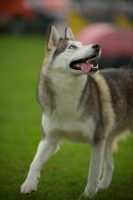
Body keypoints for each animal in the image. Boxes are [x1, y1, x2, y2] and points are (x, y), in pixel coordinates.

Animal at [20, 25, 133, 197]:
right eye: (72, 47)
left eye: (82, 43)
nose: (97, 45)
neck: (68, 94)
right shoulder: (50, 139)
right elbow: (35, 161)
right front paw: (28, 184)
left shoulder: (97, 141)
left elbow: (93, 171)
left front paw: (89, 195)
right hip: (108, 138)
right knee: (111, 165)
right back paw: (103, 186)